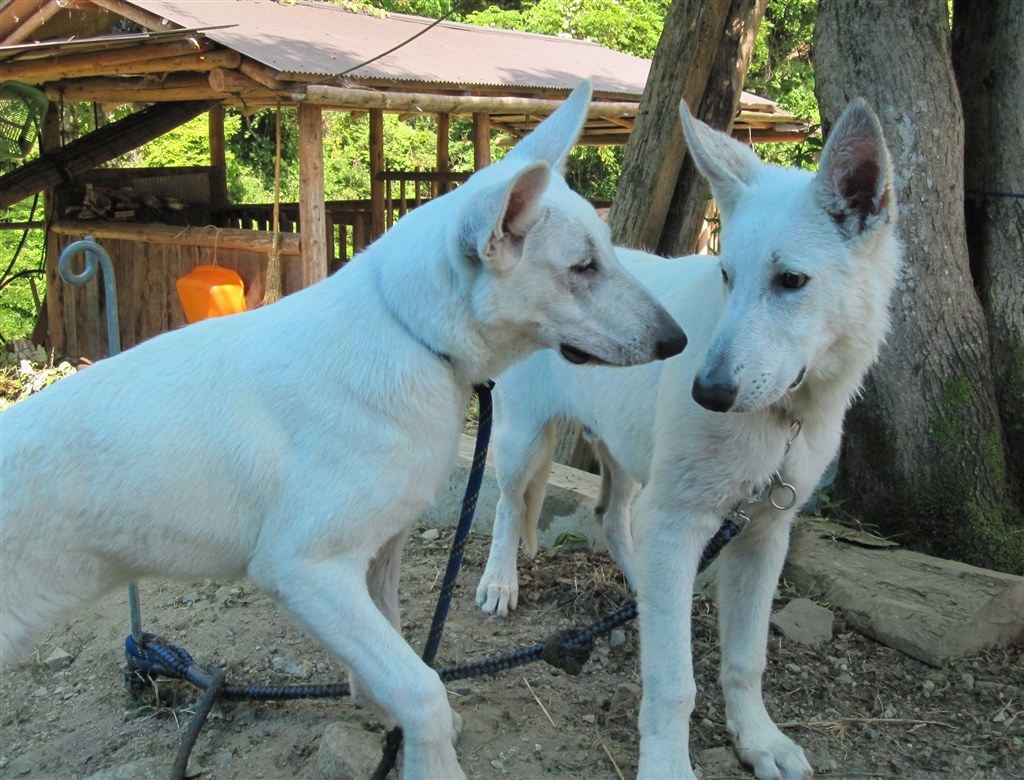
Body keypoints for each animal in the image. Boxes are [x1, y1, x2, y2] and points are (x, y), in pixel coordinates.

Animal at [2, 81, 688, 773]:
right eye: (583, 267)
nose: (678, 341)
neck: (410, 335)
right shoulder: (305, 569)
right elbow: (423, 688)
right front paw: (431, 759)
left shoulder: (374, 557)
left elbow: (392, 669)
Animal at [475, 98, 901, 777]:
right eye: (727, 275)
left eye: (792, 281)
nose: (708, 391)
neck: (784, 417)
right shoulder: (679, 518)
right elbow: (673, 681)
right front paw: (669, 764)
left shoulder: (763, 533)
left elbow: (746, 658)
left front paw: (758, 739)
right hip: (523, 440)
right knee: (508, 507)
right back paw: (499, 583)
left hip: (627, 455)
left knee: (613, 517)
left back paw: (644, 590)